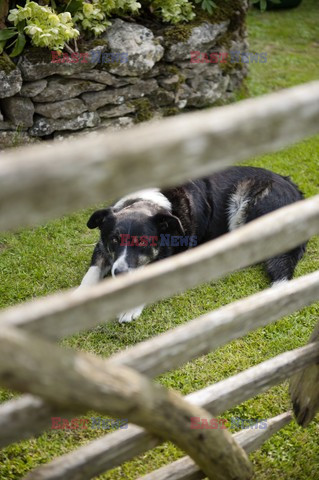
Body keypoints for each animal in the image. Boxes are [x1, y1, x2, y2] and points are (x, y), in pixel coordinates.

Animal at [78, 166, 308, 322]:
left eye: (143, 241)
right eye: (114, 240)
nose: (120, 274)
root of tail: (297, 193)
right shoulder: (102, 248)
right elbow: (91, 273)